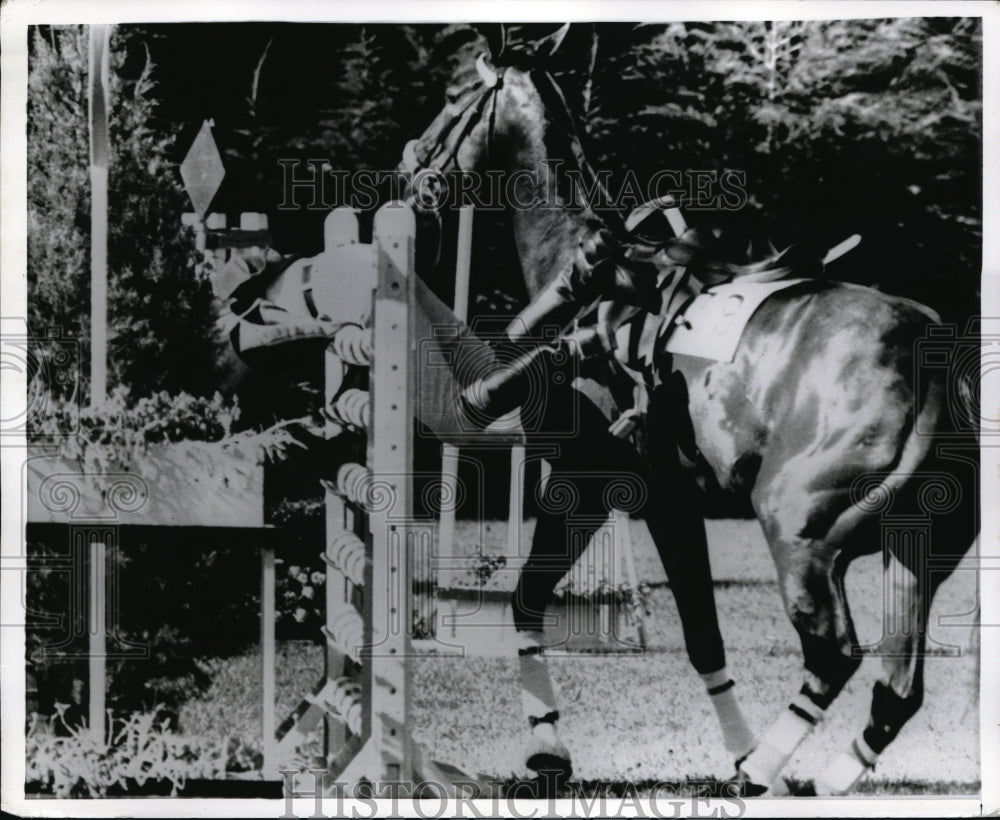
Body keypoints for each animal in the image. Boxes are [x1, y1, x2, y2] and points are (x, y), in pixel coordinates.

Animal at [396, 24, 976, 796]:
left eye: (454, 94)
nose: (409, 170)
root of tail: (928, 357)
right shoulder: (664, 500)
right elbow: (703, 637)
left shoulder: (599, 487)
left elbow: (533, 600)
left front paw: (549, 750)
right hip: (915, 551)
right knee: (897, 688)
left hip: (801, 536)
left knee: (834, 656)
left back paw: (761, 775)